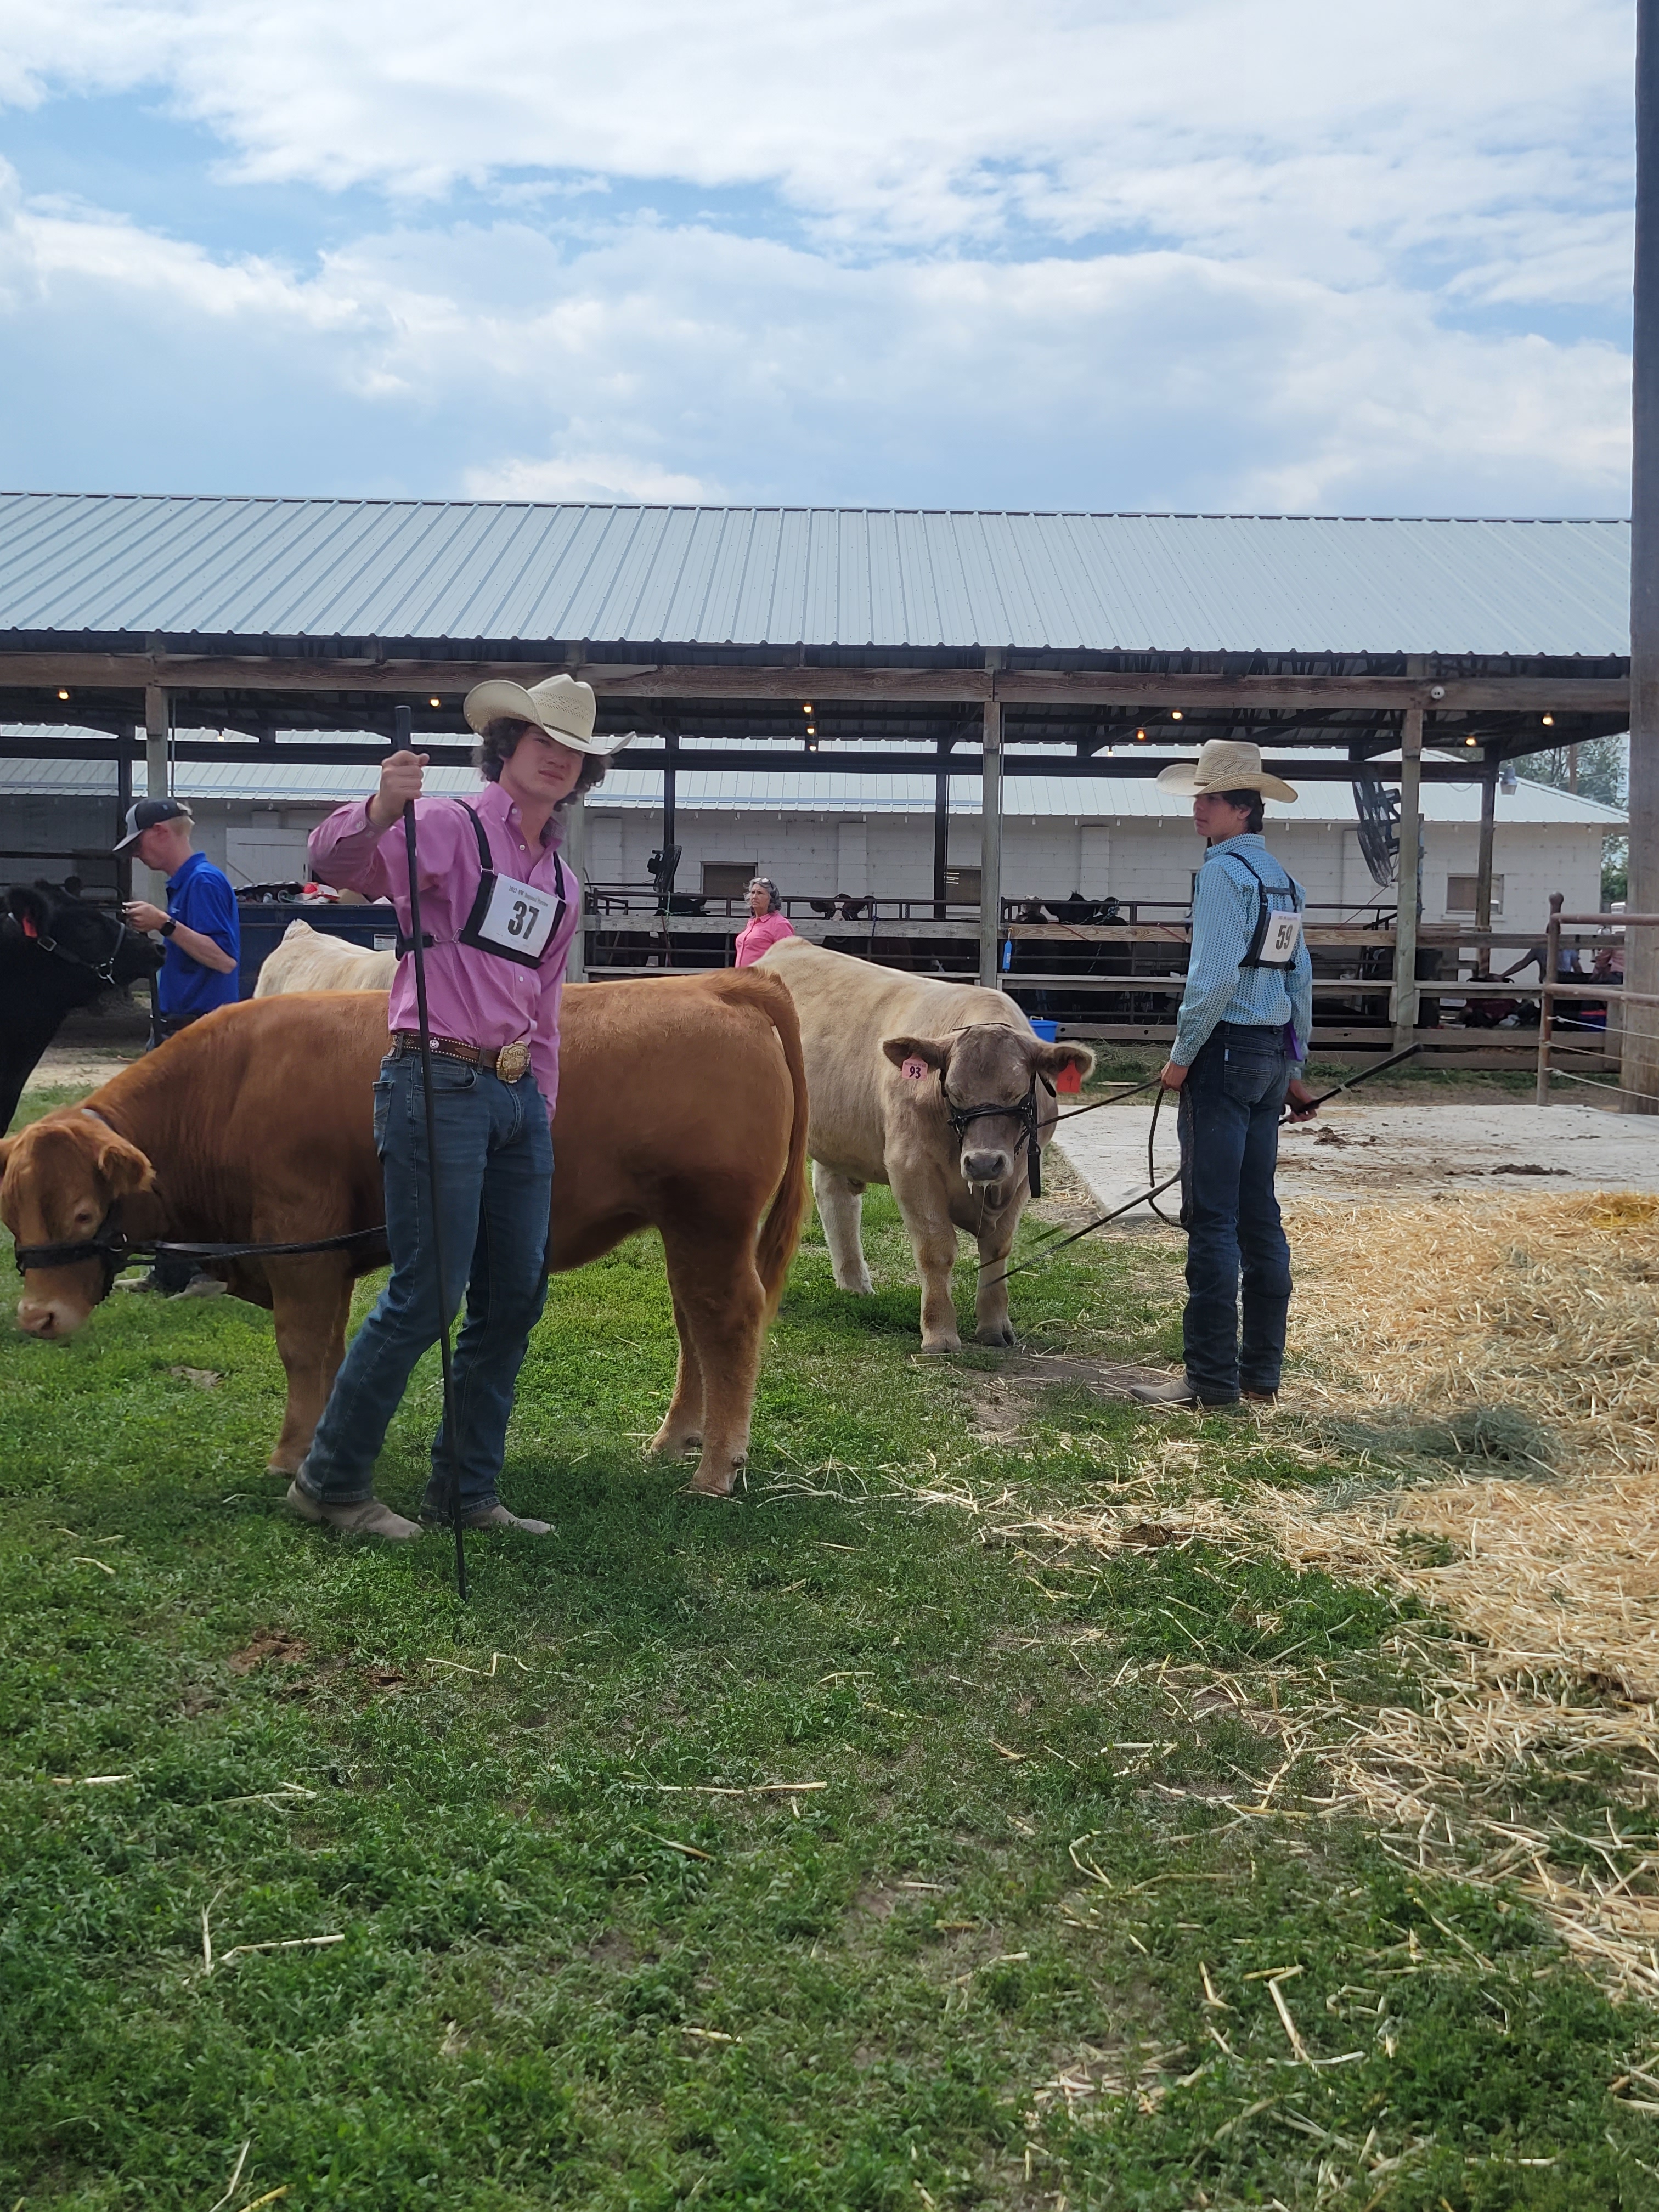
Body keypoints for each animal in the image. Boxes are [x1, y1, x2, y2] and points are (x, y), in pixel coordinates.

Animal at [1, 973, 808, 1497]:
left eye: (82, 1214)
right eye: (10, 1214)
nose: (38, 1318)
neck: (225, 1091)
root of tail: (723, 983)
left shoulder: (301, 1236)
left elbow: (302, 1348)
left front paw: (289, 1458)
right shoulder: (318, 1255)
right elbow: (328, 1352)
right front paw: (315, 1446)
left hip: (712, 1221)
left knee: (727, 1321)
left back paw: (716, 1470)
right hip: (686, 1230)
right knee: (694, 1324)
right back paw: (674, 1441)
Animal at [757, 937, 1093, 1353]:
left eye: (1017, 1093)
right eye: (953, 1091)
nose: (983, 1164)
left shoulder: (1020, 1176)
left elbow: (997, 1250)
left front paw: (995, 1327)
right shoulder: (911, 1166)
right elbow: (936, 1250)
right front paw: (940, 1334)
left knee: (835, 1198)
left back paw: (855, 1285)